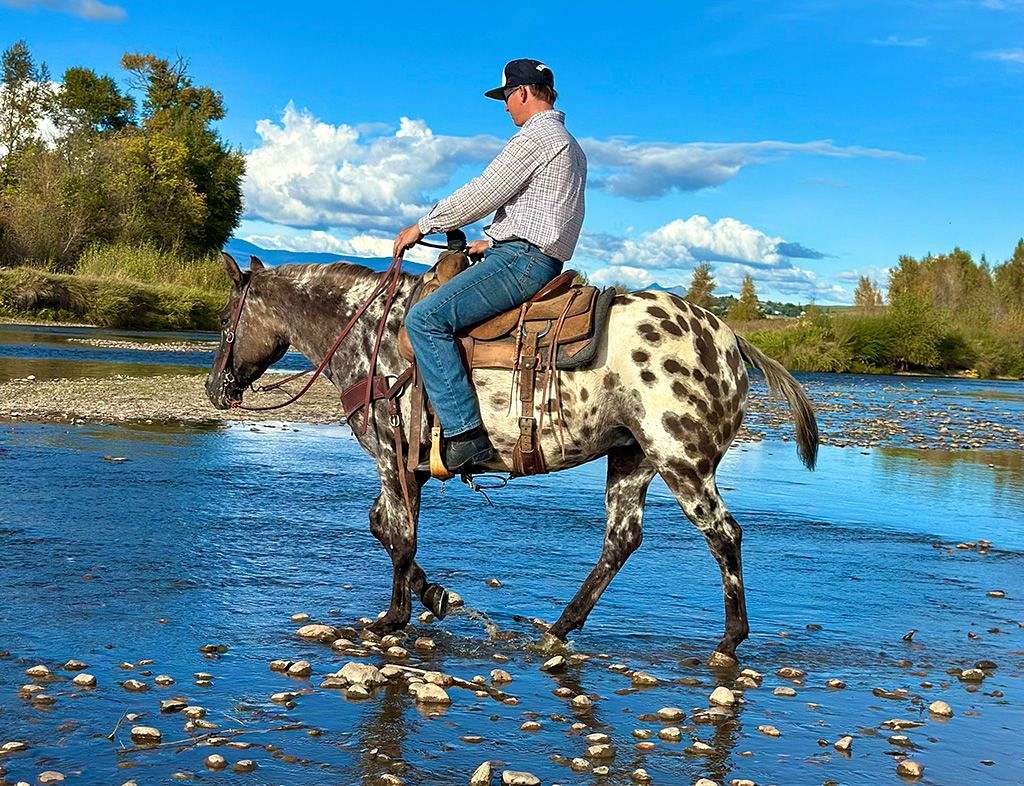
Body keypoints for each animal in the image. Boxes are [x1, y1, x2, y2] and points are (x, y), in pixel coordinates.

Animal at [206, 252, 818, 665]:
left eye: (225, 320)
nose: (214, 389)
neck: (370, 338)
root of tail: (732, 341)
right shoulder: (408, 471)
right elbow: (386, 529)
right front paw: (435, 597)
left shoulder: (391, 459)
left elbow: (398, 536)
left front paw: (394, 618)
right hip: (632, 460)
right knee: (621, 541)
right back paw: (559, 627)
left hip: (682, 462)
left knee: (724, 536)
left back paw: (728, 641)